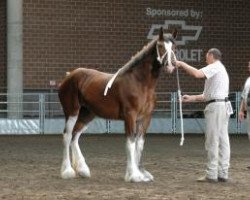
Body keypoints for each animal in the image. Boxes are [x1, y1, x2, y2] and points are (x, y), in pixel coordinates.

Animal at [58, 28, 178, 183]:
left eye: (174, 47)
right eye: (161, 46)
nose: (171, 65)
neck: (141, 83)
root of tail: (69, 76)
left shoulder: (145, 118)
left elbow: (139, 143)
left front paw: (141, 173)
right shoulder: (130, 116)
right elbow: (130, 142)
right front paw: (133, 175)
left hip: (87, 114)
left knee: (75, 135)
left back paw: (83, 170)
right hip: (71, 111)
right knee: (67, 135)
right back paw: (67, 171)